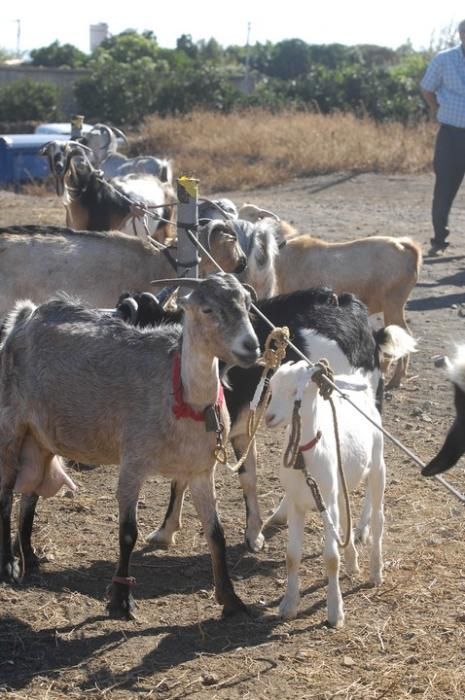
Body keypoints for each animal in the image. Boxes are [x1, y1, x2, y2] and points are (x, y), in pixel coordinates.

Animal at [0, 274, 260, 616]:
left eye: (248, 304)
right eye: (207, 309)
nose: (251, 346)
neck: (180, 395)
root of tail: (24, 318)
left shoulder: (201, 470)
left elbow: (216, 533)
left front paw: (231, 599)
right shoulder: (133, 462)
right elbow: (128, 532)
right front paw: (122, 600)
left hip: (41, 437)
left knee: (29, 496)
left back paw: (30, 557)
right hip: (11, 426)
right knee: (6, 495)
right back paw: (9, 565)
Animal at [262, 360, 386, 628]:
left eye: (296, 392)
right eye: (272, 388)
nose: (269, 417)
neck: (305, 458)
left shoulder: (326, 502)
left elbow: (330, 558)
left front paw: (335, 612)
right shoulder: (297, 502)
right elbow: (292, 555)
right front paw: (288, 605)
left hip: (378, 465)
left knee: (378, 519)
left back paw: (375, 572)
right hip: (339, 486)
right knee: (346, 519)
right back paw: (353, 563)